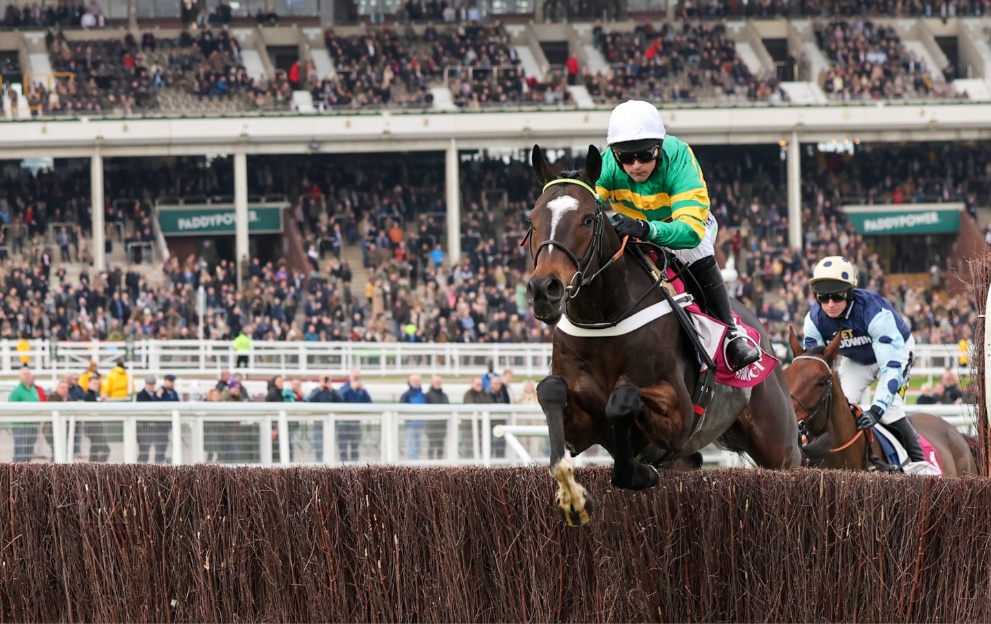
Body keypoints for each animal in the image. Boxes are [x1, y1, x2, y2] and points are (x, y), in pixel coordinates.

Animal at [528, 146, 808, 528]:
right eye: (533, 219)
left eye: (587, 219)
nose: (545, 289)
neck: (605, 321)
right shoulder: (582, 426)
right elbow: (551, 390)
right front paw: (572, 497)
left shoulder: (680, 416)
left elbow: (622, 400)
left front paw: (636, 474)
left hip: (779, 447)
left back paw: (740, 348)